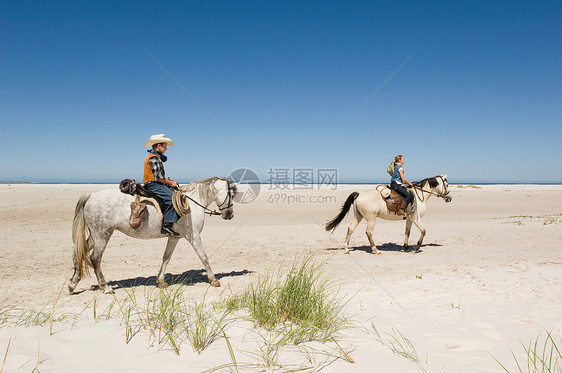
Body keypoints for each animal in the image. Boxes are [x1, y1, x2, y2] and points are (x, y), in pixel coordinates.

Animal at [69, 176, 235, 292]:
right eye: (231, 195)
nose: (230, 215)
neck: (193, 203)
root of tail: (91, 196)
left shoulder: (174, 237)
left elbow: (166, 258)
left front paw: (161, 281)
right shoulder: (193, 237)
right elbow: (204, 257)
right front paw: (213, 280)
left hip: (95, 235)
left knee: (80, 252)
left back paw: (72, 283)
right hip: (102, 233)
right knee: (95, 258)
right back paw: (105, 287)